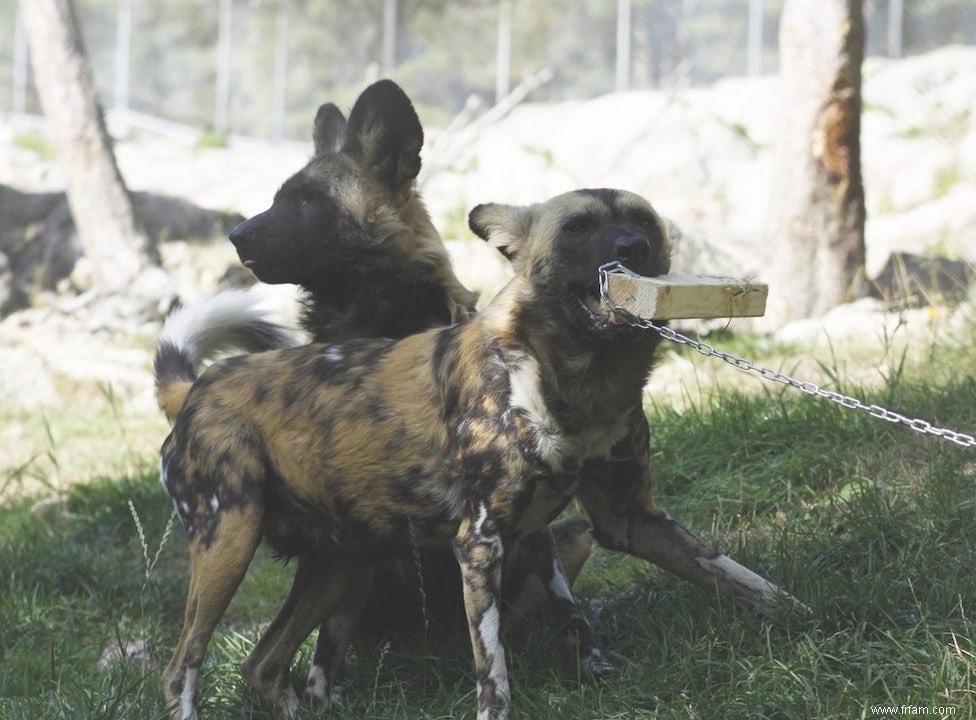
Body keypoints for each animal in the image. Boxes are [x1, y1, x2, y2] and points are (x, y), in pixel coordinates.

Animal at [154, 188, 800, 716]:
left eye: (642, 221)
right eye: (577, 229)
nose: (632, 247)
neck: (576, 379)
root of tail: (199, 387)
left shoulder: (629, 521)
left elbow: (746, 581)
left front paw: (814, 620)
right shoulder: (480, 540)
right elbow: (494, 671)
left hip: (342, 564)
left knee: (263, 665)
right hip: (229, 541)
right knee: (180, 670)